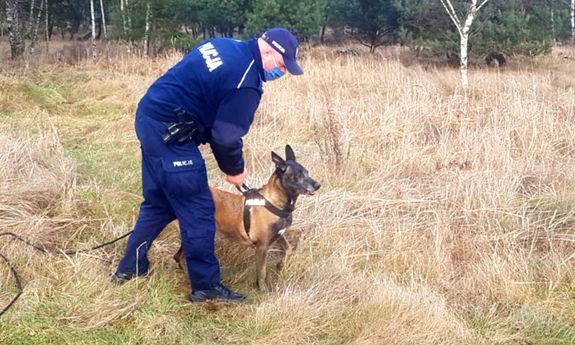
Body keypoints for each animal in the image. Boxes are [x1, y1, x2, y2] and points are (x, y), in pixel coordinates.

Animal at [173, 144, 322, 290]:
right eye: (298, 174)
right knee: (181, 257)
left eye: (307, 172)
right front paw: (263, 290)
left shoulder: (279, 236)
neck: (275, 202)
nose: (318, 185)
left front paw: (280, 264)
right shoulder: (262, 247)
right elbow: (262, 272)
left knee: (178, 257)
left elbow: (289, 249)